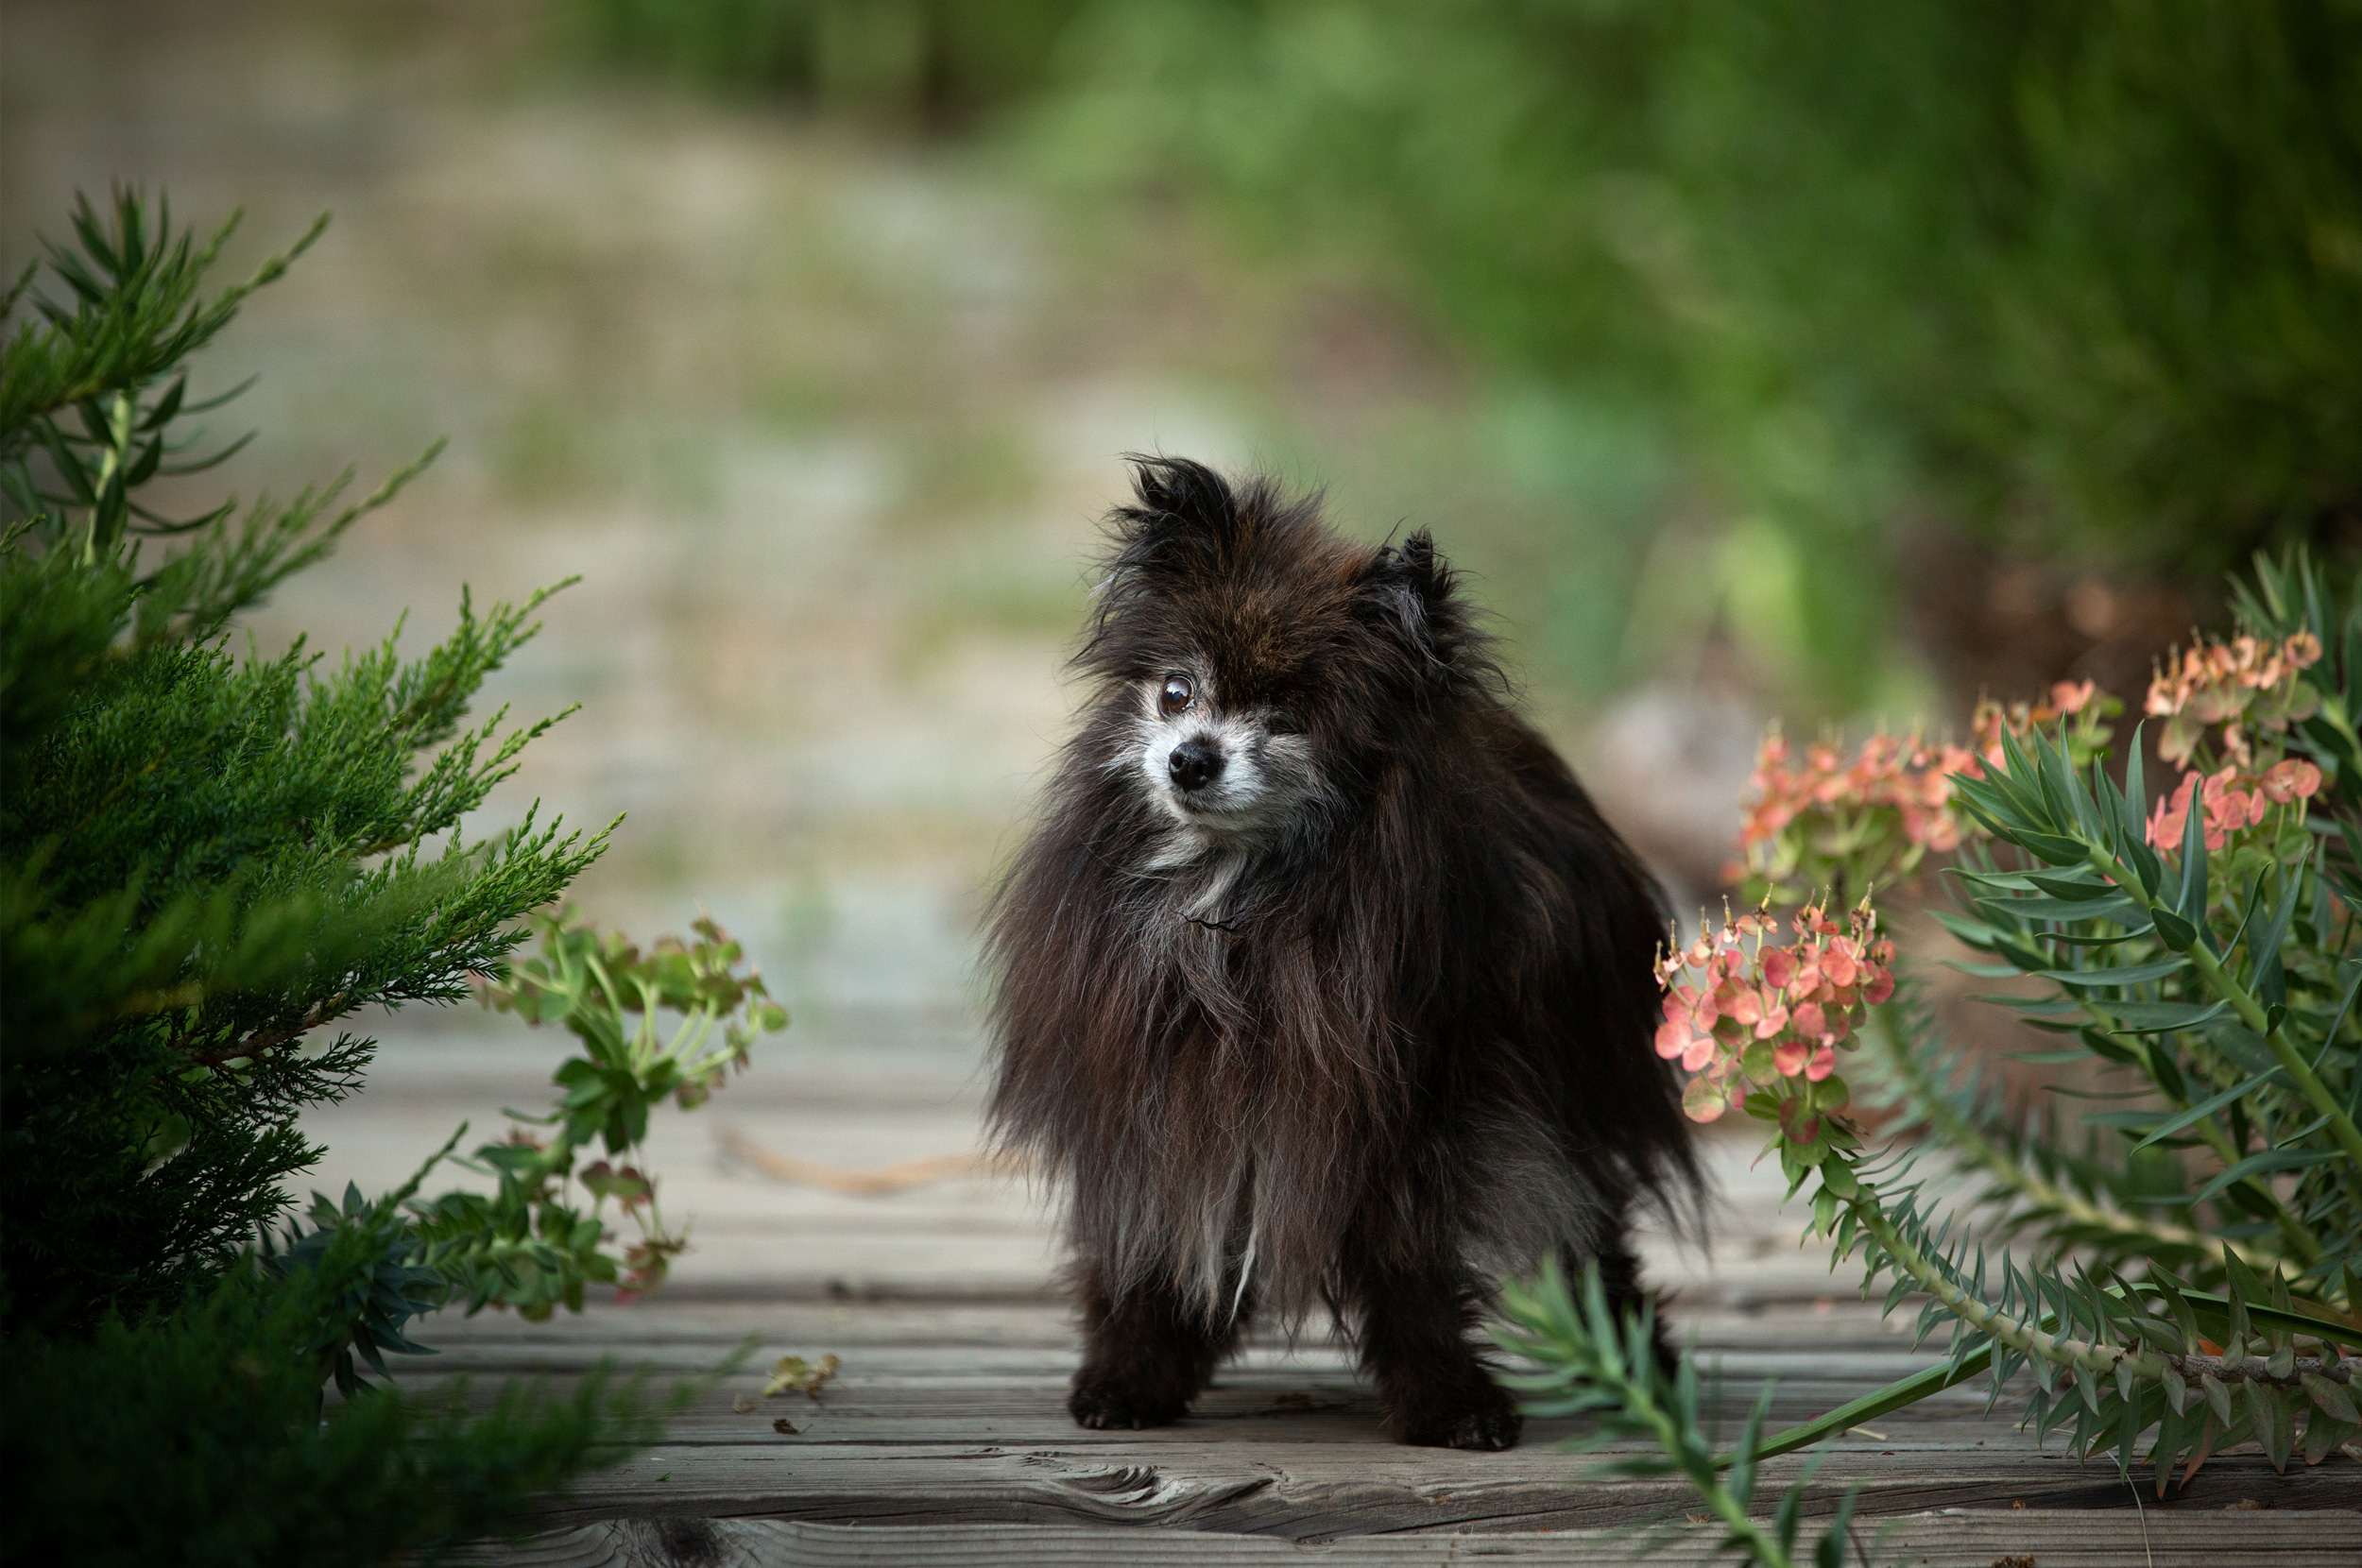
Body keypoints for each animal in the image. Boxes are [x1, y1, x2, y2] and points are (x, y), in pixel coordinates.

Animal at [978, 460, 1701, 1455]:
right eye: (1176, 692)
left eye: (1285, 719)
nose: (1190, 758)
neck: (1235, 895)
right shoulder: (1160, 1097)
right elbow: (1152, 1241)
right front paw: (1133, 1372)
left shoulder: (1409, 1118)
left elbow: (1412, 1271)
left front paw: (1447, 1401)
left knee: (1593, 1231)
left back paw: (1637, 1363)